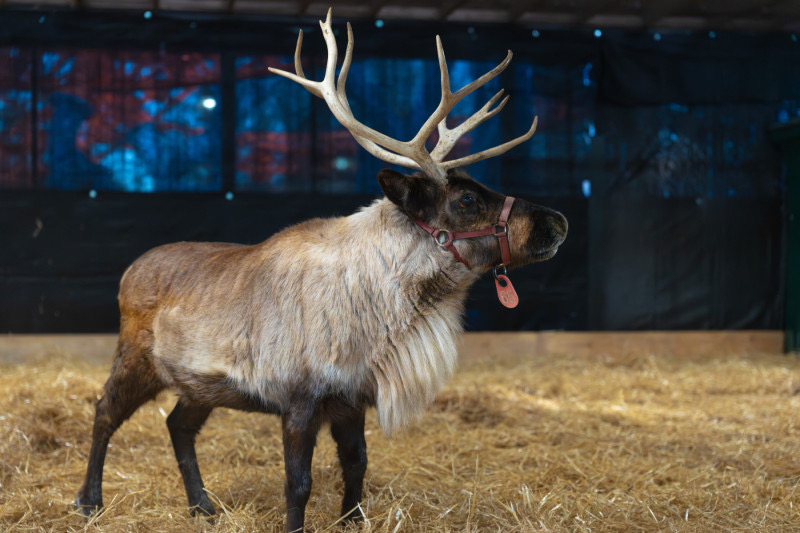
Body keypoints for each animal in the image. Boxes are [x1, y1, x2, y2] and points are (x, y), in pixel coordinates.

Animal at [74, 9, 568, 533]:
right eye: (467, 199)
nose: (558, 222)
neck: (383, 316)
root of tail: (130, 270)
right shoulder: (298, 401)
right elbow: (299, 483)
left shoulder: (351, 400)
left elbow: (356, 465)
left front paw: (352, 518)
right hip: (135, 358)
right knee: (103, 411)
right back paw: (89, 501)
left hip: (199, 384)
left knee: (176, 425)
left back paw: (201, 506)